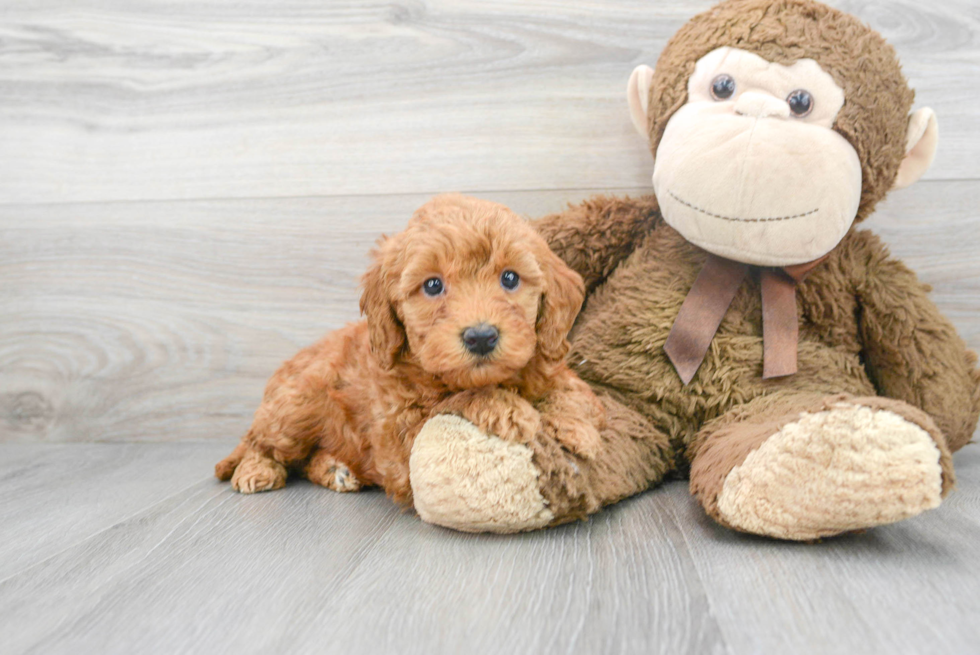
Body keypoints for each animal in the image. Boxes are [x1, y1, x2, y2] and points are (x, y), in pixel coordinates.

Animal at [214, 195, 604, 508]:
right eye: (432, 285)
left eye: (510, 278)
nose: (481, 337)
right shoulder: (400, 441)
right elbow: (453, 401)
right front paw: (505, 408)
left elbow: (572, 391)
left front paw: (579, 427)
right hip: (296, 406)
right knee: (264, 443)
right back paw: (256, 470)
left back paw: (335, 469)